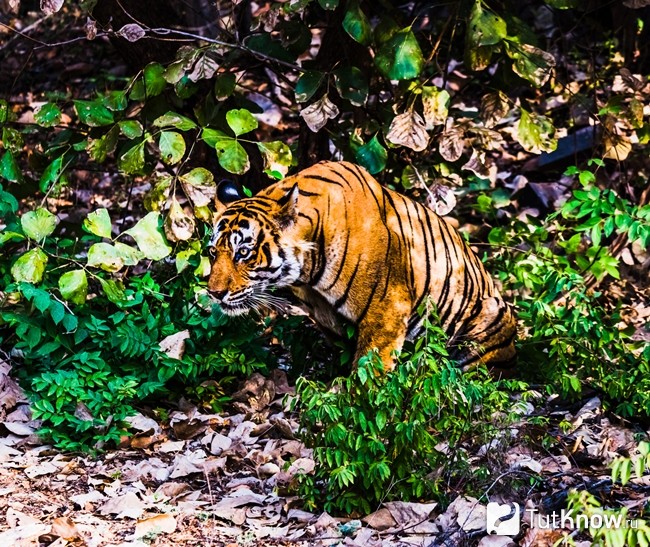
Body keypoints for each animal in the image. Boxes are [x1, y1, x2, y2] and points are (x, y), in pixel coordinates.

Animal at [207, 161, 517, 373]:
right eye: (212, 252)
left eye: (243, 252)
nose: (214, 293)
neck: (307, 274)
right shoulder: (325, 314)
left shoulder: (388, 309)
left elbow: (370, 368)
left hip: (488, 319)